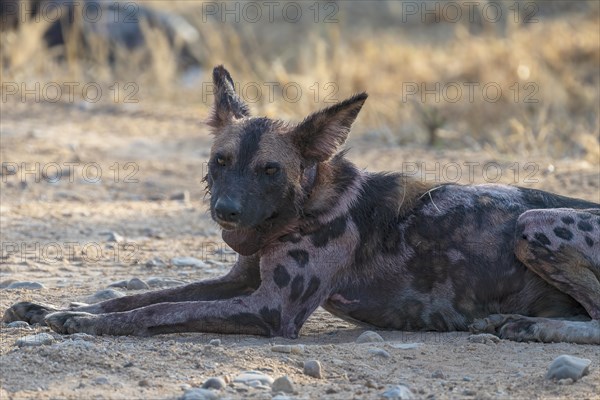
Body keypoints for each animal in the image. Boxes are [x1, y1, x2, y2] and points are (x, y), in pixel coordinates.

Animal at [4, 65, 600, 344]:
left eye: (270, 170)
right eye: (221, 160)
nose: (226, 212)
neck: (305, 205)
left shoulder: (271, 309)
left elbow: (157, 311)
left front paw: (82, 323)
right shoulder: (239, 282)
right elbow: (140, 297)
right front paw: (55, 309)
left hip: (532, 222)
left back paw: (529, 327)